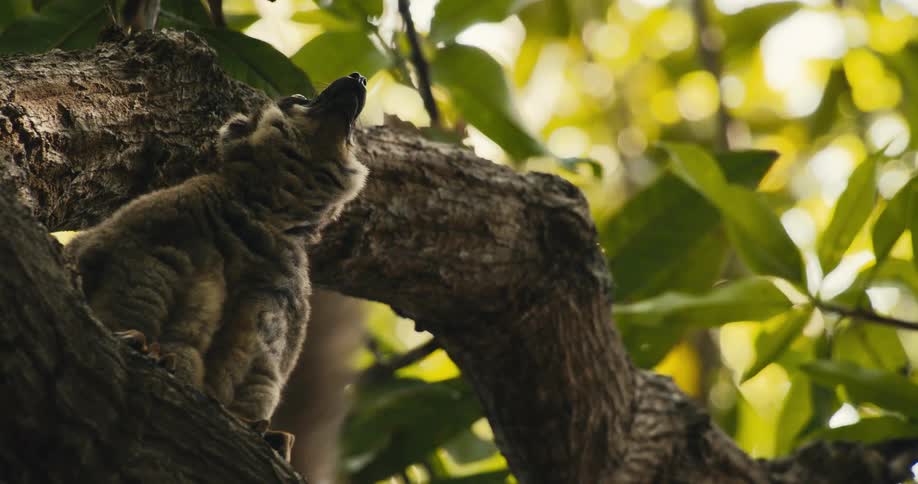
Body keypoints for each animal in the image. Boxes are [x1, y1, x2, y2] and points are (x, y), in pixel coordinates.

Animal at [64, 73, 369, 460]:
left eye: (353, 132)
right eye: (300, 99)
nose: (357, 79)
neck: (262, 219)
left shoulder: (288, 284)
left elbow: (266, 363)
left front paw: (257, 429)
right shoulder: (168, 212)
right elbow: (133, 277)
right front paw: (137, 342)